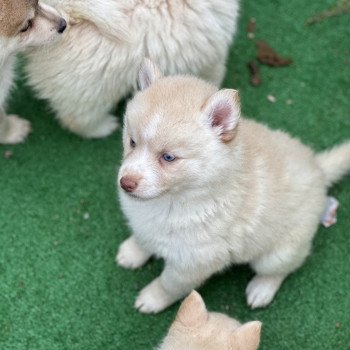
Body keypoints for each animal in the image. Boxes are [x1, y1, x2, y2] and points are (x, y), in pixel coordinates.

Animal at [116, 60, 350, 314]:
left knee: (284, 268)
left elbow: (168, 284)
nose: (125, 183)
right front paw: (132, 252)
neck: (175, 199)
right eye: (132, 142)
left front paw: (151, 298)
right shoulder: (148, 225)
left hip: (277, 254)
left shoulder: (192, 263)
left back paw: (262, 289)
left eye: (168, 157)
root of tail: (318, 168)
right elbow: (143, 237)